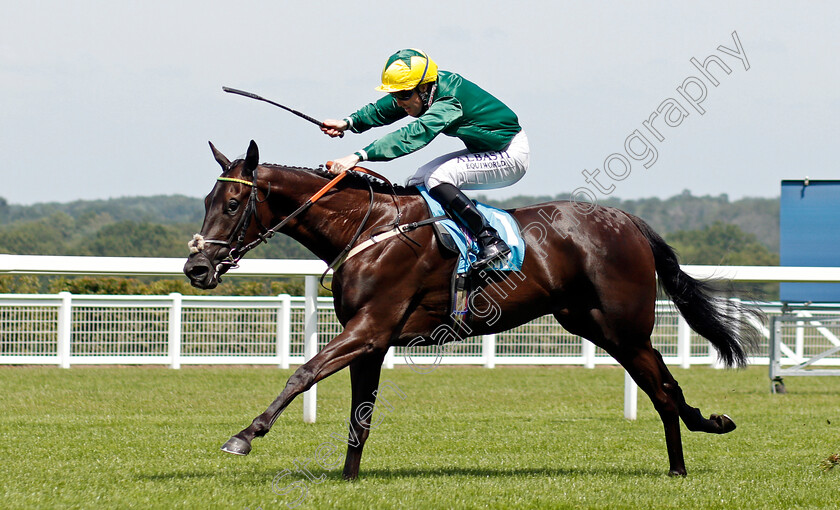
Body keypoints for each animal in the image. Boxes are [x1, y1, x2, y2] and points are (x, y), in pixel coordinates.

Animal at [184, 139, 760, 478]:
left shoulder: (369, 329)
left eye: (232, 205)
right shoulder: (372, 341)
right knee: (662, 388)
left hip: (623, 327)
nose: (196, 268)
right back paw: (690, 448)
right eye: (207, 202)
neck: (367, 229)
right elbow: (359, 415)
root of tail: (629, 221)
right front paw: (348, 478)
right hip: (597, 326)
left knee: (662, 387)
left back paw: (689, 452)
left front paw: (245, 436)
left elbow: (302, 374)